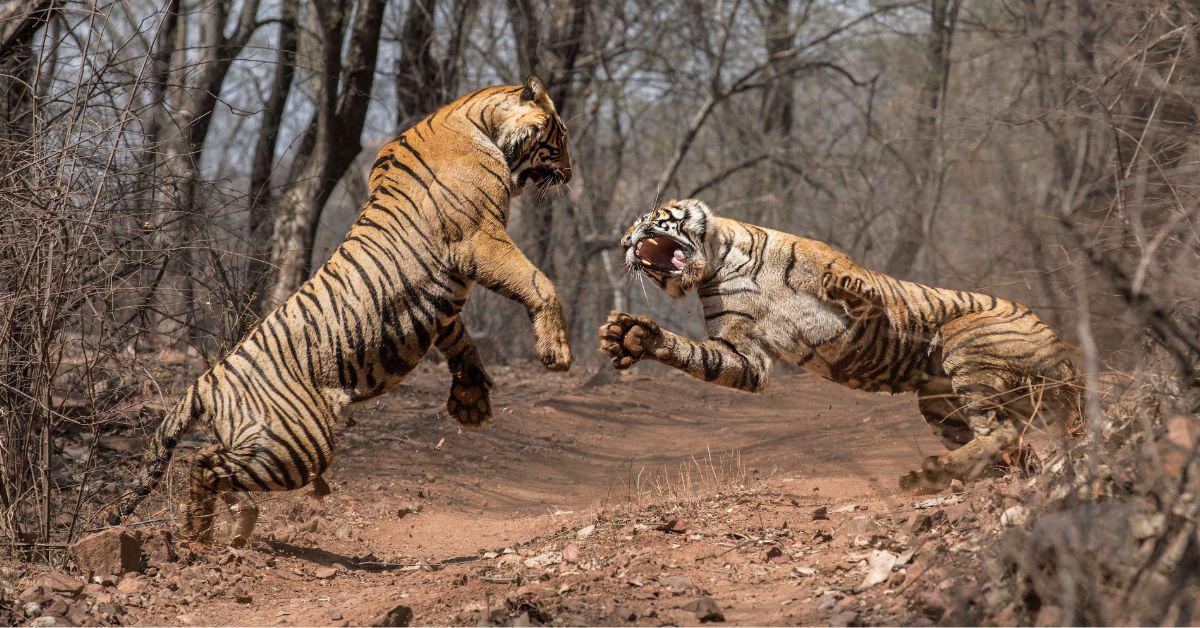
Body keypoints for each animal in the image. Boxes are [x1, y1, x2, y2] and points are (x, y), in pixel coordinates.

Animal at [111, 75, 576, 545]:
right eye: (561, 137)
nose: (571, 175)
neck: (482, 123)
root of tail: (205, 381)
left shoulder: (446, 295)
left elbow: (459, 338)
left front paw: (471, 404)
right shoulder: (481, 238)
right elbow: (539, 282)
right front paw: (556, 352)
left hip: (260, 440)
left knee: (208, 460)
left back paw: (224, 532)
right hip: (298, 443)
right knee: (202, 464)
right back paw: (202, 536)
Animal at [600, 200, 1080, 492]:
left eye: (646, 219)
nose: (623, 241)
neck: (719, 262)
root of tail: (1066, 356)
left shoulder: (846, 276)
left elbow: (859, 285)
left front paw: (845, 287)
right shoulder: (744, 354)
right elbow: (702, 357)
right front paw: (630, 336)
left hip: (966, 339)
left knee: (1002, 431)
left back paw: (932, 471)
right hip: (938, 400)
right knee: (1006, 440)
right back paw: (932, 475)